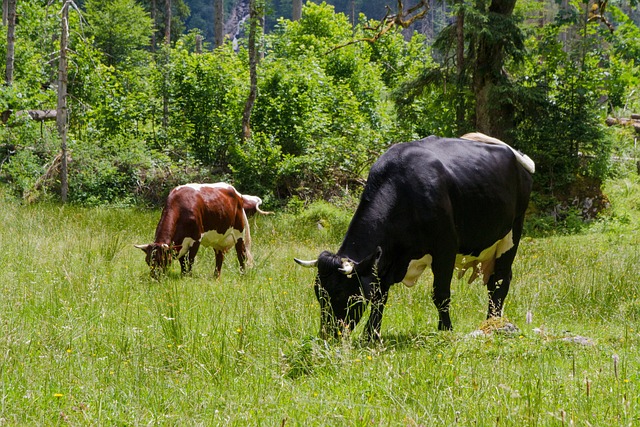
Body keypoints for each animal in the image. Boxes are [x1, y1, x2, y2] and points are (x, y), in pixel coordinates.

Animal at [135, 183, 268, 278]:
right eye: (148, 261)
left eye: (162, 260)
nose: (155, 277)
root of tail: (238, 194)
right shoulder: (181, 243)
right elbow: (183, 260)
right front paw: (183, 274)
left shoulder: (196, 238)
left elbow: (190, 259)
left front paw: (188, 276)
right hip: (218, 239)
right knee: (219, 257)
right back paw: (216, 276)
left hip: (239, 233)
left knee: (241, 255)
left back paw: (242, 274)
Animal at [296, 134, 536, 342]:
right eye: (319, 293)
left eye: (340, 293)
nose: (328, 335)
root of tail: (511, 151)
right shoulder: (384, 259)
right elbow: (379, 297)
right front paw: (371, 335)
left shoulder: (445, 249)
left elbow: (441, 294)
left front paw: (446, 331)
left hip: (512, 234)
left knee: (499, 283)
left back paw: (492, 325)